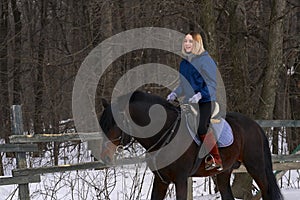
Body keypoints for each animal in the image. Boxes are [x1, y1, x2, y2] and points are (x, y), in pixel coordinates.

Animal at [99, 91, 284, 200]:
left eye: (114, 125)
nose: (104, 157)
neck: (166, 132)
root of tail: (255, 125)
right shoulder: (161, 180)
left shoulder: (180, 180)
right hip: (224, 172)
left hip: (256, 167)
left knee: (266, 191)